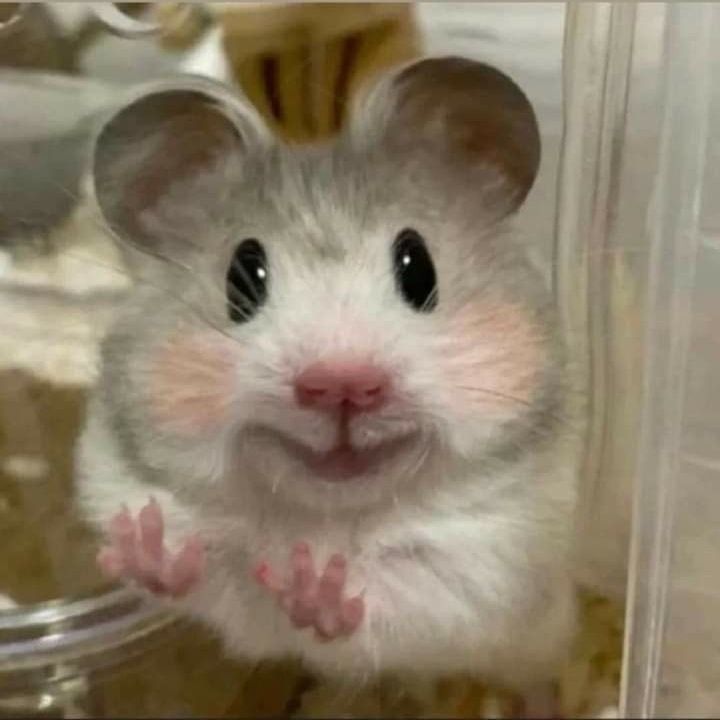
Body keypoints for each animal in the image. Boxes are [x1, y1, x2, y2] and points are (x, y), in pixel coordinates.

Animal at [76, 58, 582, 704]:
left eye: (419, 269)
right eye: (243, 276)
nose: (341, 384)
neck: (327, 513)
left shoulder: (486, 563)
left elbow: (388, 590)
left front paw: (313, 586)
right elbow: (216, 570)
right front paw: (144, 543)